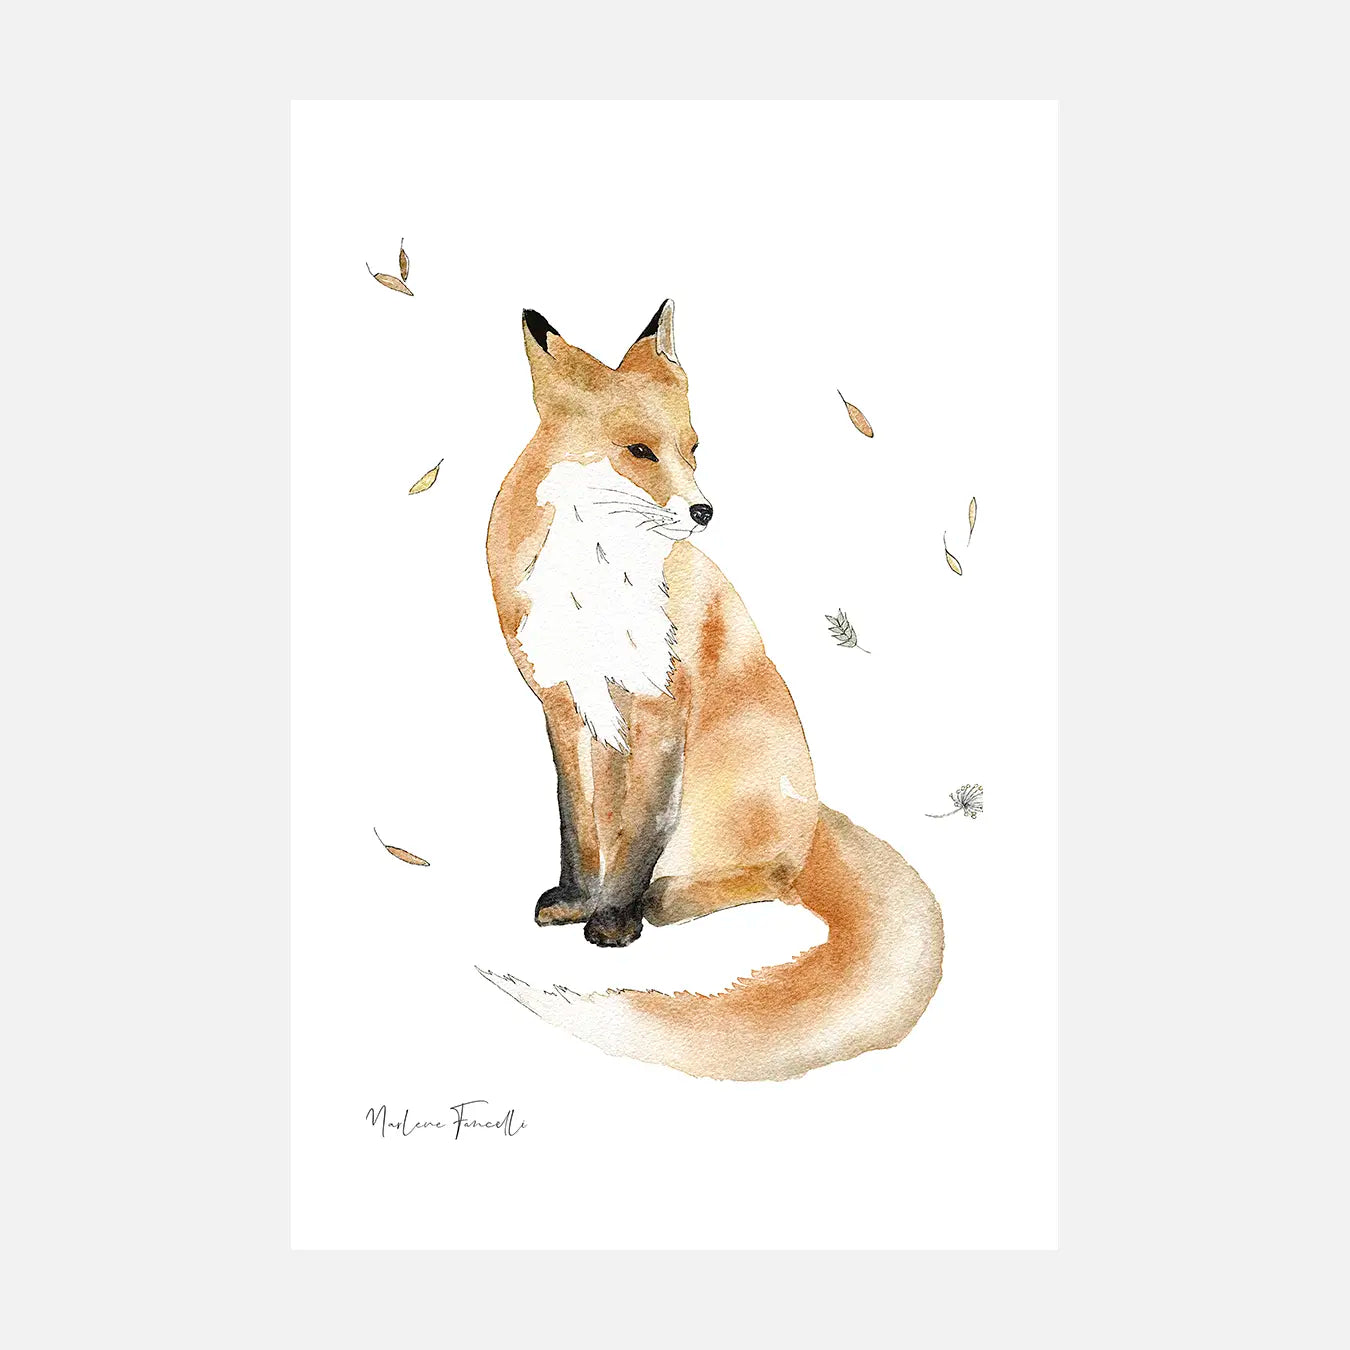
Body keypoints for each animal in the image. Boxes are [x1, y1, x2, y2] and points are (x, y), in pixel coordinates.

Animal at [482, 300, 943, 1081]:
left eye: (695, 448)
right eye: (640, 451)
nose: (705, 513)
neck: (589, 585)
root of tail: (817, 814)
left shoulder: (662, 705)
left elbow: (641, 829)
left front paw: (614, 920)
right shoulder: (564, 704)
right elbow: (579, 822)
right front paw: (577, 899)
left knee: (771, 876)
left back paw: (665, 898)